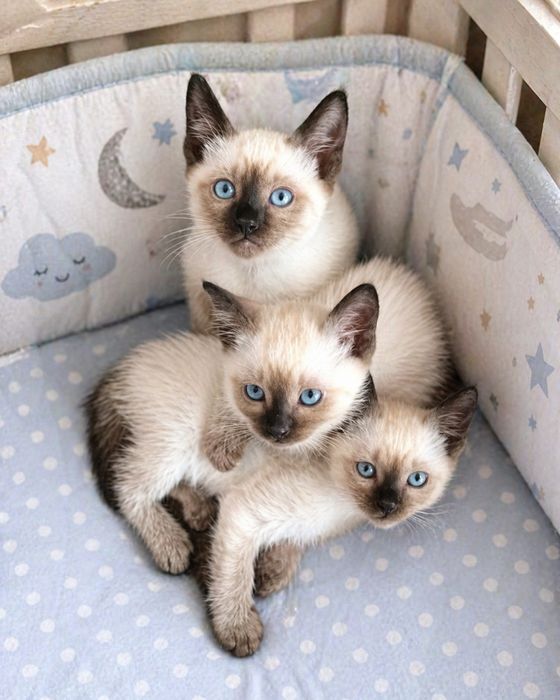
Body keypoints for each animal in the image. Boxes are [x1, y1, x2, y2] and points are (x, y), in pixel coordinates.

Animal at [206, 386, 478, 657]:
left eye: (417, 479)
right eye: (366, 470)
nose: (387, 506)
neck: (346, 511)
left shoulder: (304, 526)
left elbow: (291, 542)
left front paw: (271, 571)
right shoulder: (243, 513)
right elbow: (236, 578)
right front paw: (239, 628)